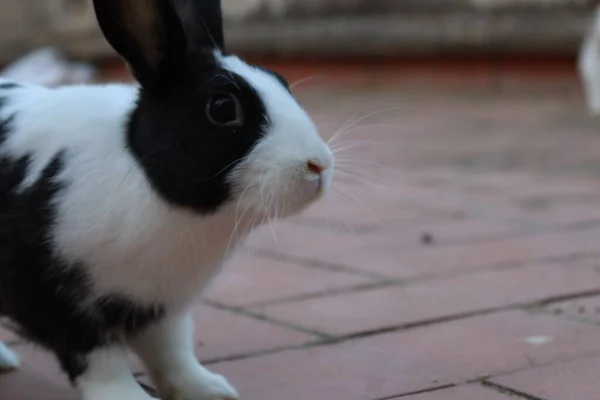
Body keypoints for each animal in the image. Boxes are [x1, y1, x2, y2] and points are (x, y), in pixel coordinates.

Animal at [0, 0, 332, 400]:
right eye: (223, 108)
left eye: (281, 81)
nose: (318, 164)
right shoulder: (61, 302)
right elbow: (99, 360)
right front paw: (127, 397)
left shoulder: (162, 306)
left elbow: (172, 352)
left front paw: (209, 390)